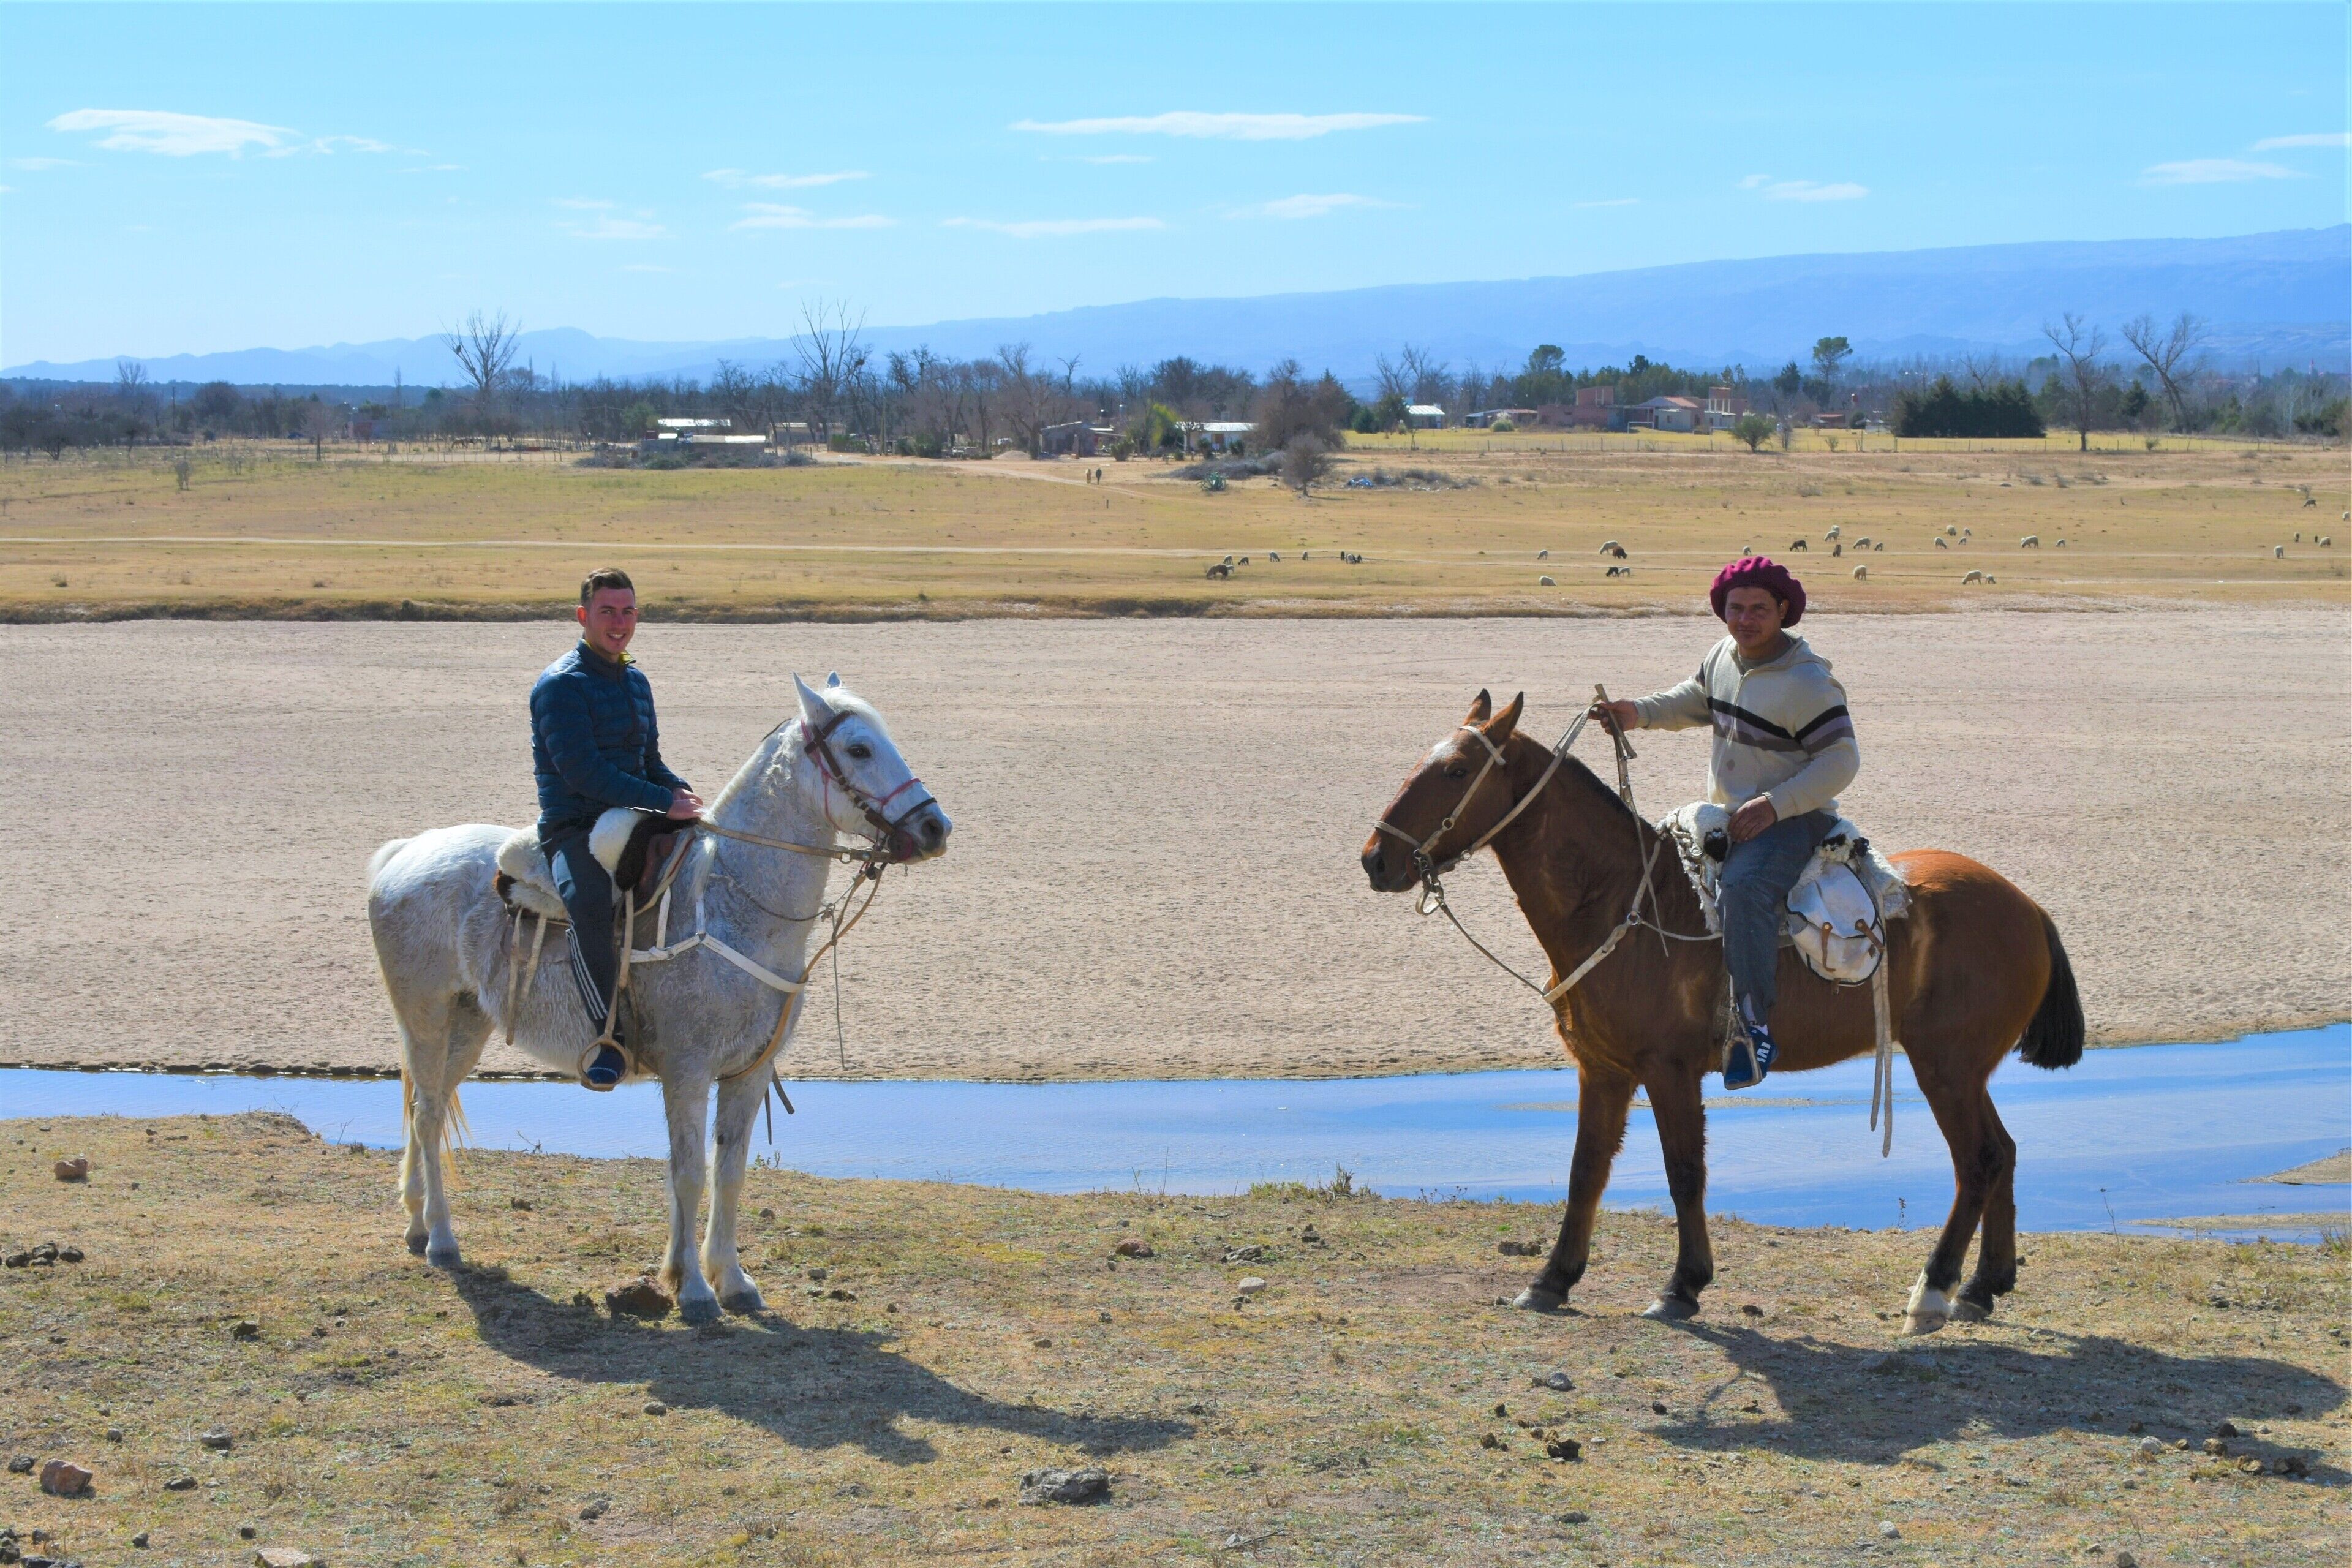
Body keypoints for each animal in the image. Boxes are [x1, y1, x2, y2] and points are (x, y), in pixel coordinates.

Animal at [367, 673, 951, 1324]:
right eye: (858, 749)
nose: (935, 827)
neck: (731, 905)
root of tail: (405, 853)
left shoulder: (748, 1073)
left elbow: (729, 1173)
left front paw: (731, 1280)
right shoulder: (688, 1072)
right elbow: (690, 1173)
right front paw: (694, 1289)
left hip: (469, 1023)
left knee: (428, 1106)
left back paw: (418, 1224)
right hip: (425, 1018)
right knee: (428, 1114)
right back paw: (443, 1240)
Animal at [1360, 690, 2083, 1335]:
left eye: (1457, 770)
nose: (1375, 859)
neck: (1624, 900)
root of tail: (2027, 907)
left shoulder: (1668, 1069)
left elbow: (1684, 1172)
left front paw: (1682, 1286)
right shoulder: (1603, 1069)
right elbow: (1586, 1169)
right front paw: (1552, 1279)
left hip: (1945, 1068)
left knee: (1979, 1160)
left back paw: (1933, 1292)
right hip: (1963, 1070)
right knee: (2003, 1152)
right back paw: (1983, 1287)